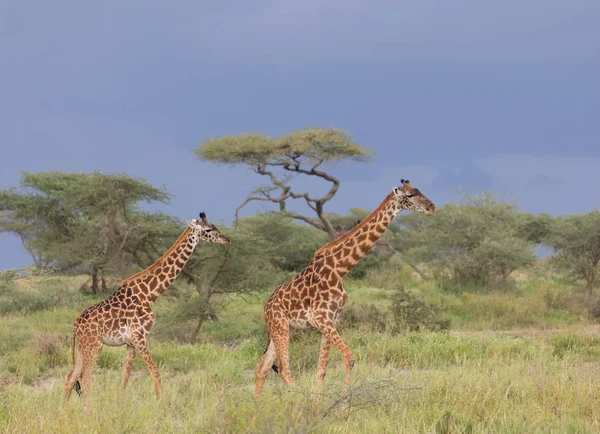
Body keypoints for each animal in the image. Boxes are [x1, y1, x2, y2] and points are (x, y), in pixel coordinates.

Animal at [63, 212, 230, 402]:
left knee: (71, 377)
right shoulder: (140, 337)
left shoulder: (131, 343)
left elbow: (124, 378)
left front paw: (120, 404)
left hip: (83, 347)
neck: (150, 294)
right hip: (94, 346)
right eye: (208, 230)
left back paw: (66, 408)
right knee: (85, 379)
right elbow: (155, 373)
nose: (227, 240)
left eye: (215, 226)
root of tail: (76, 325)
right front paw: (161, 404)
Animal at [254, 179, 436, 394]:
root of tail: (266, 307)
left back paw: (257, 402)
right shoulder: (321, 318)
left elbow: (321, 369)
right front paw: (343, 398)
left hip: (285, 329)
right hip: (280, 326)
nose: (431, 207)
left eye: (418, 190)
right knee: (283, 369)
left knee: (263, 365)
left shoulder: (333, 319)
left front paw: (321, 400)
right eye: (409, 195)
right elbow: (349, 358)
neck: (340, 269)